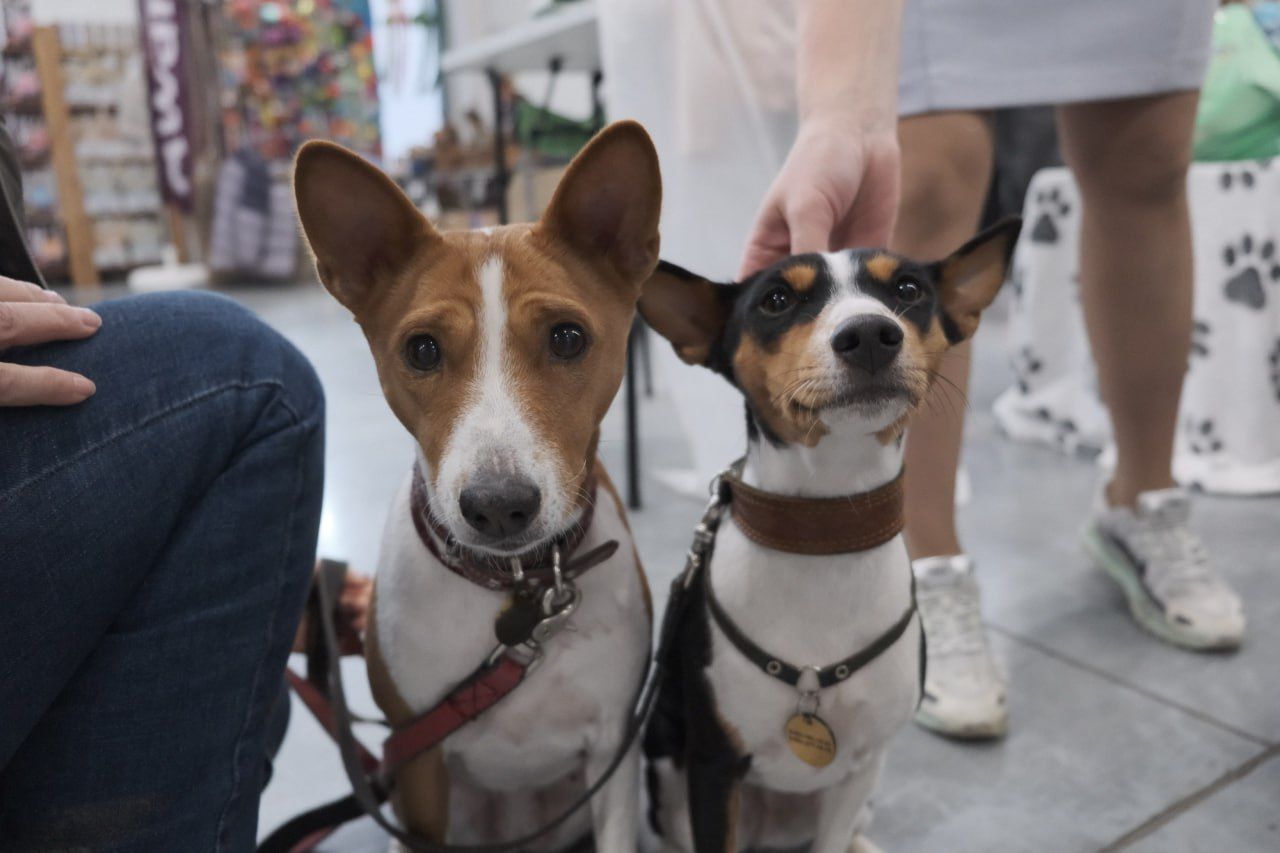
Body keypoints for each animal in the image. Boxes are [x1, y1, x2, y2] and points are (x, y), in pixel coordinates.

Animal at [293, 121, 660, 850]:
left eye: (568, 338)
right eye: (422, 350)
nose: (498, 507)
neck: (515, 591)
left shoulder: (613, 751)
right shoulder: (420, 766)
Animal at [637, 220, 1018, 850]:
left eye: (908, 289)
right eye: (776, 300)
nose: (868, 334)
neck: (826, 533)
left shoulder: (861, 766)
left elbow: (834, 837)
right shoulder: (714, 765)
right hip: (665, 759)